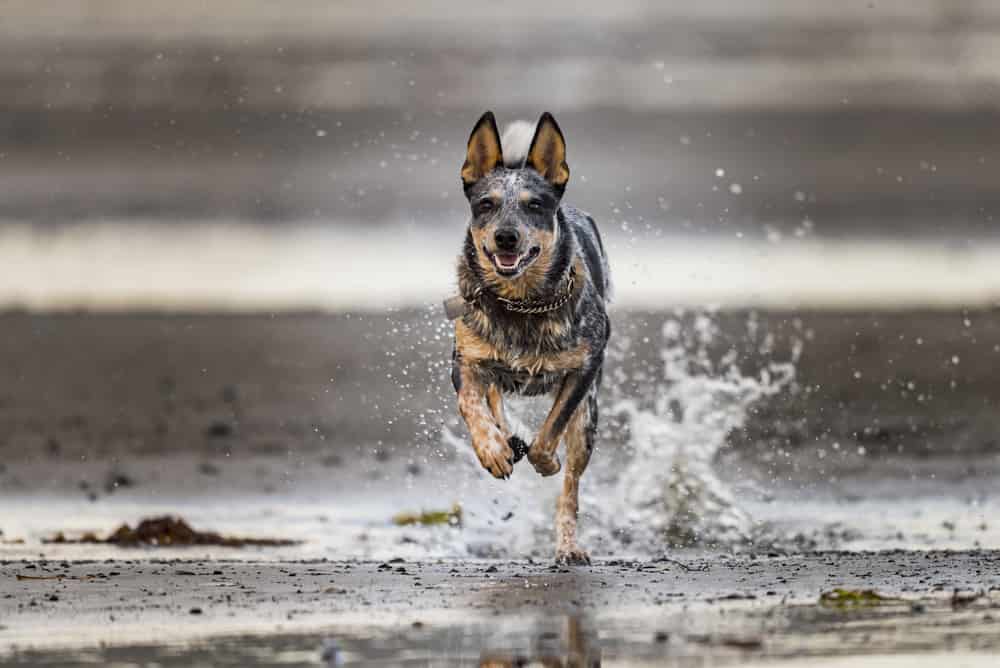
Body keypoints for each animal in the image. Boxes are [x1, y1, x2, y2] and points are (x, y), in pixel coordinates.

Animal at [448, 111, 608, 564]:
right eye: (486, 204)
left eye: (534, 205)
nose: (506, 236)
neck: (521, 306)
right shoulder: (464, 360)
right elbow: (472, 405)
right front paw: (492, 450)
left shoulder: (585, 369)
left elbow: (550, 432)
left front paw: (546, 462)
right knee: (495, 402)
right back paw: (506, 440)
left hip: (589, 418)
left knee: (571, 488)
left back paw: (569, 545)